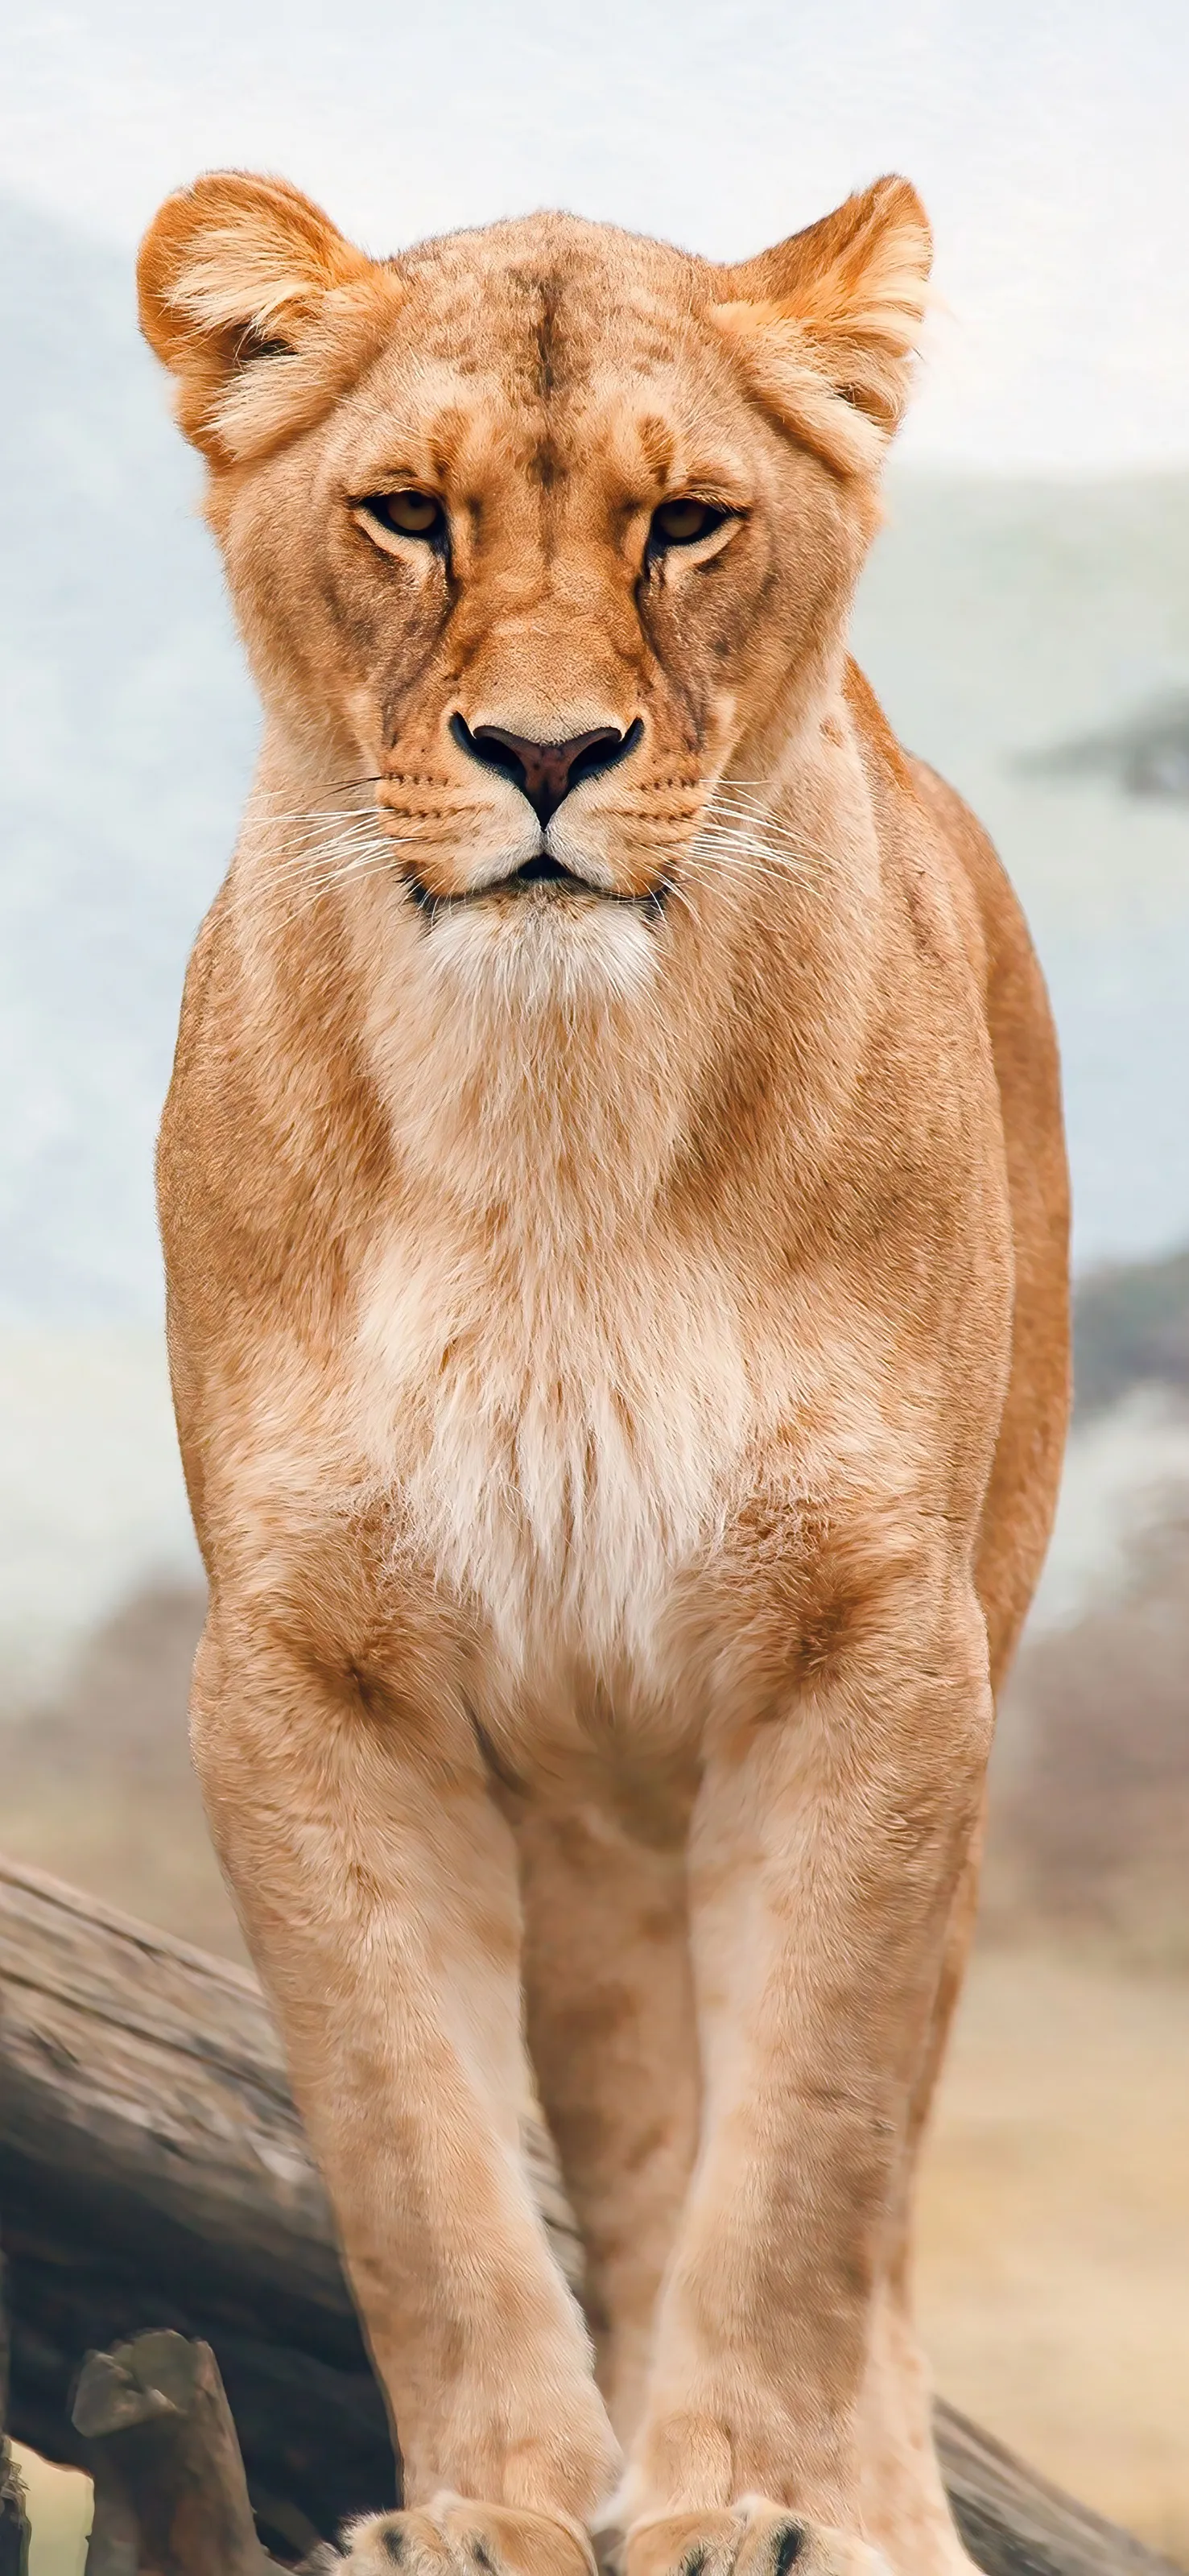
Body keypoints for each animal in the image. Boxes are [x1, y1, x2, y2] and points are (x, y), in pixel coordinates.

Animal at [137, 170, 1069, 2576]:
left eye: (686, 524)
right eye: (405, 514)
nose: (547, 760)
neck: (550, 1113)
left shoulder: (873, 1648)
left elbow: (807, 2162)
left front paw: (752, 2501)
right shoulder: (306, 1666)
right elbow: (416, 2154)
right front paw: (489, 2506)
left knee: (859, 2185)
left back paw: (865, 2509)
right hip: (585, 1807)